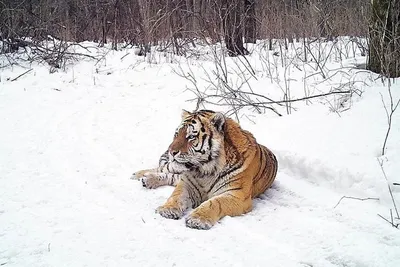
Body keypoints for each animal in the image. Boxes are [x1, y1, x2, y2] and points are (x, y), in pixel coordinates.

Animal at [131, 109, 278, 230]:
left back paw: (146, 179)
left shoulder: (236, 195)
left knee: (171, 176)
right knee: (164, 168)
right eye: (177, 134)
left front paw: (197, 219)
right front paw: (167, 210)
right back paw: (139, 175)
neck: (205, 171)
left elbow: (215, 203)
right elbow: (176, 196)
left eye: (191, 136)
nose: (171, 151)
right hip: (173, 169)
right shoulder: (186, 184)